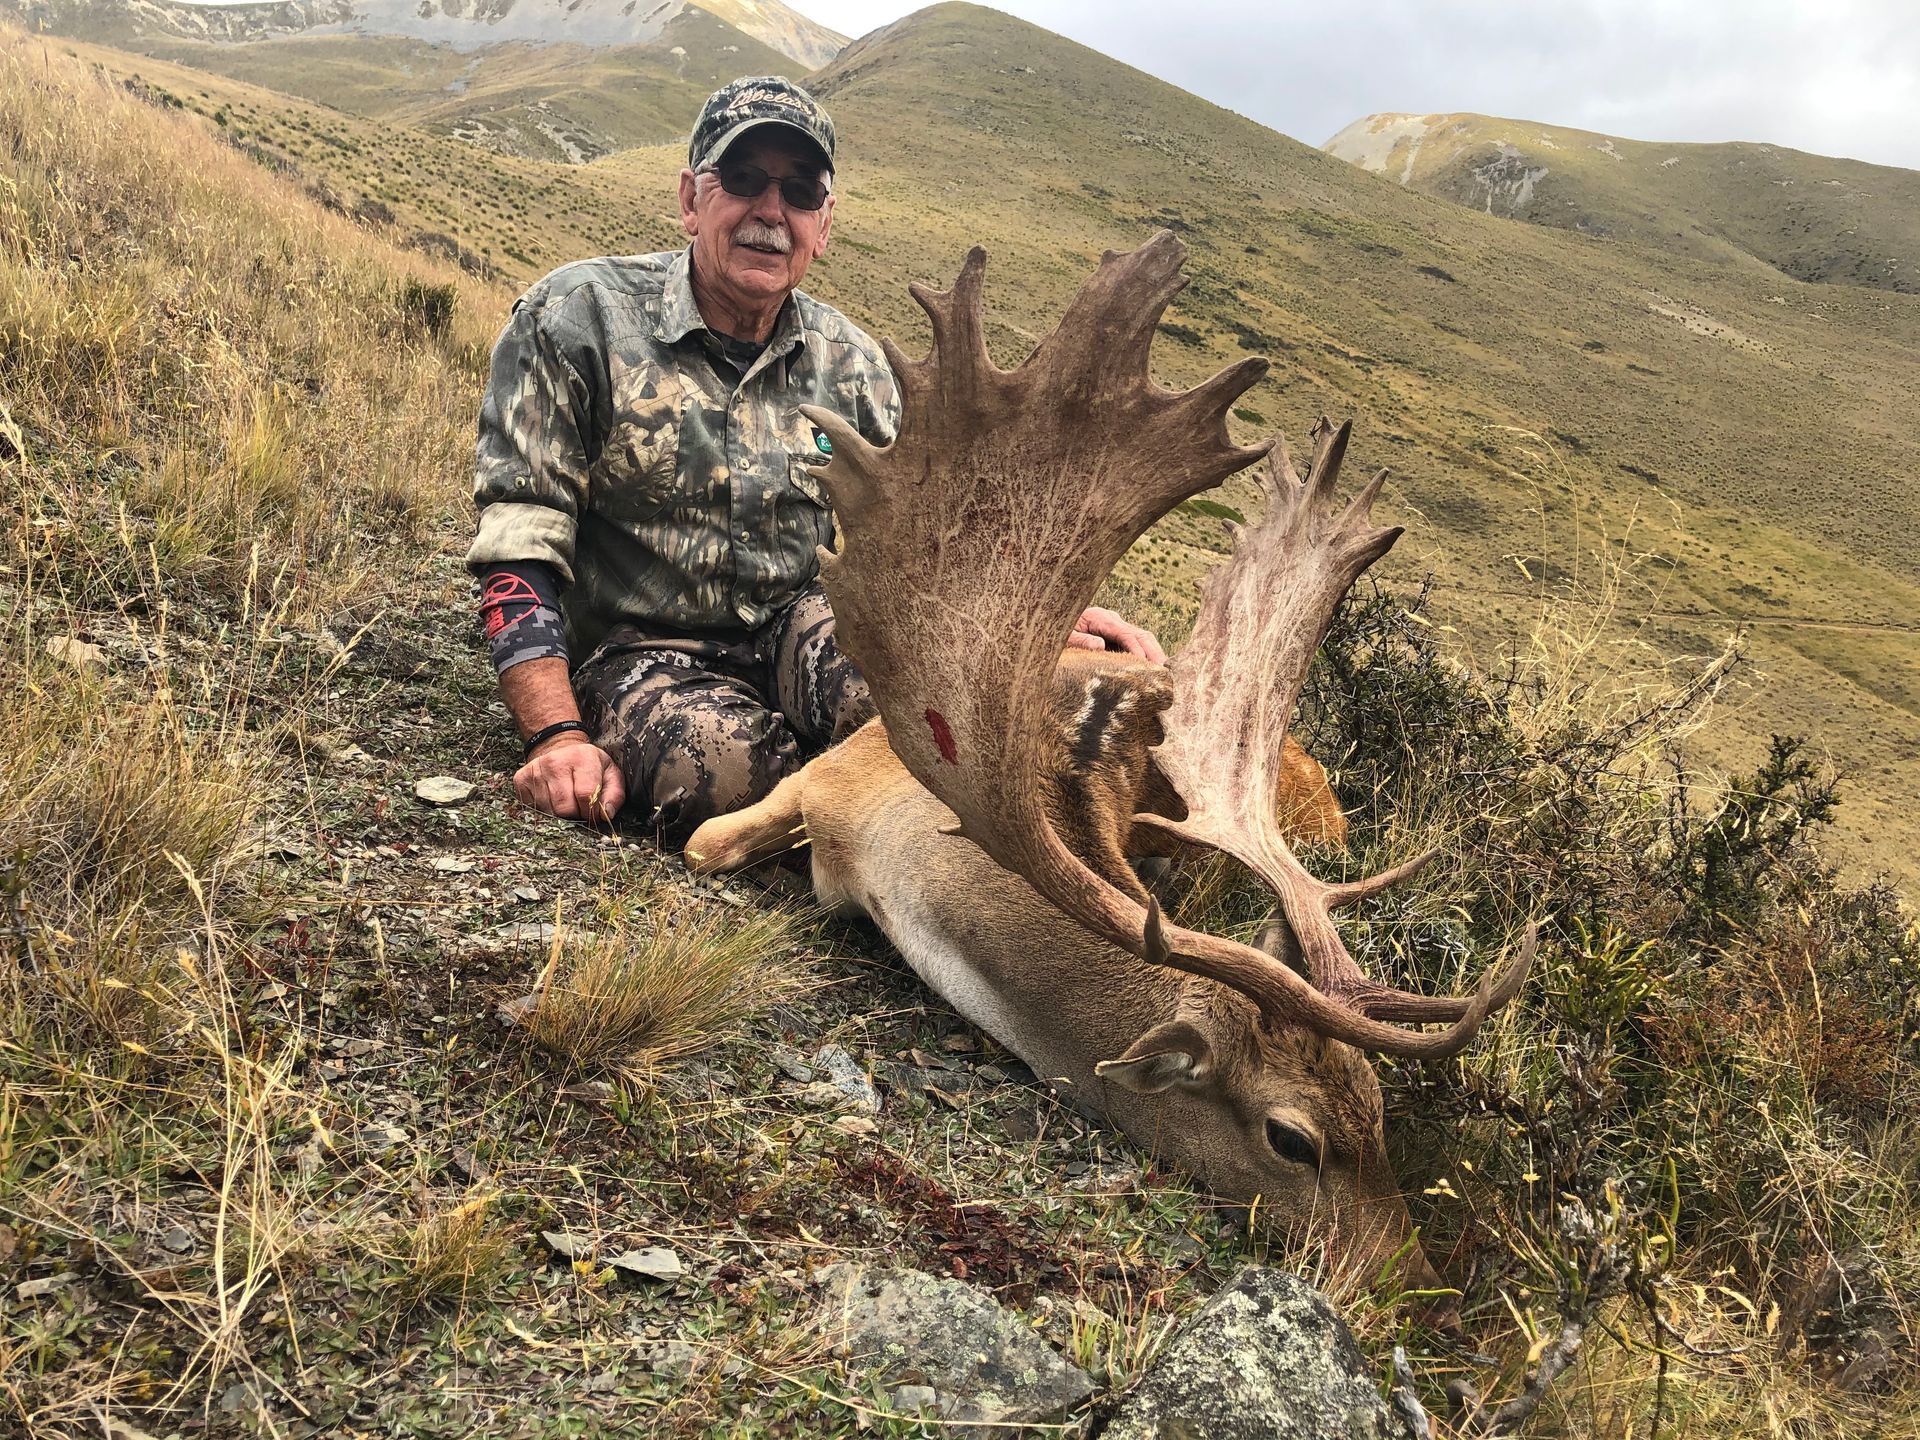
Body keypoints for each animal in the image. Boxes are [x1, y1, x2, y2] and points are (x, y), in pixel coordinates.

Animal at [686, 232, 1533, 1295]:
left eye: (1378, 1109)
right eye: (1293, 1139)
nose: (1412, 1287)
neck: (899, 854)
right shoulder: (834, 768)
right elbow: (710, 840)